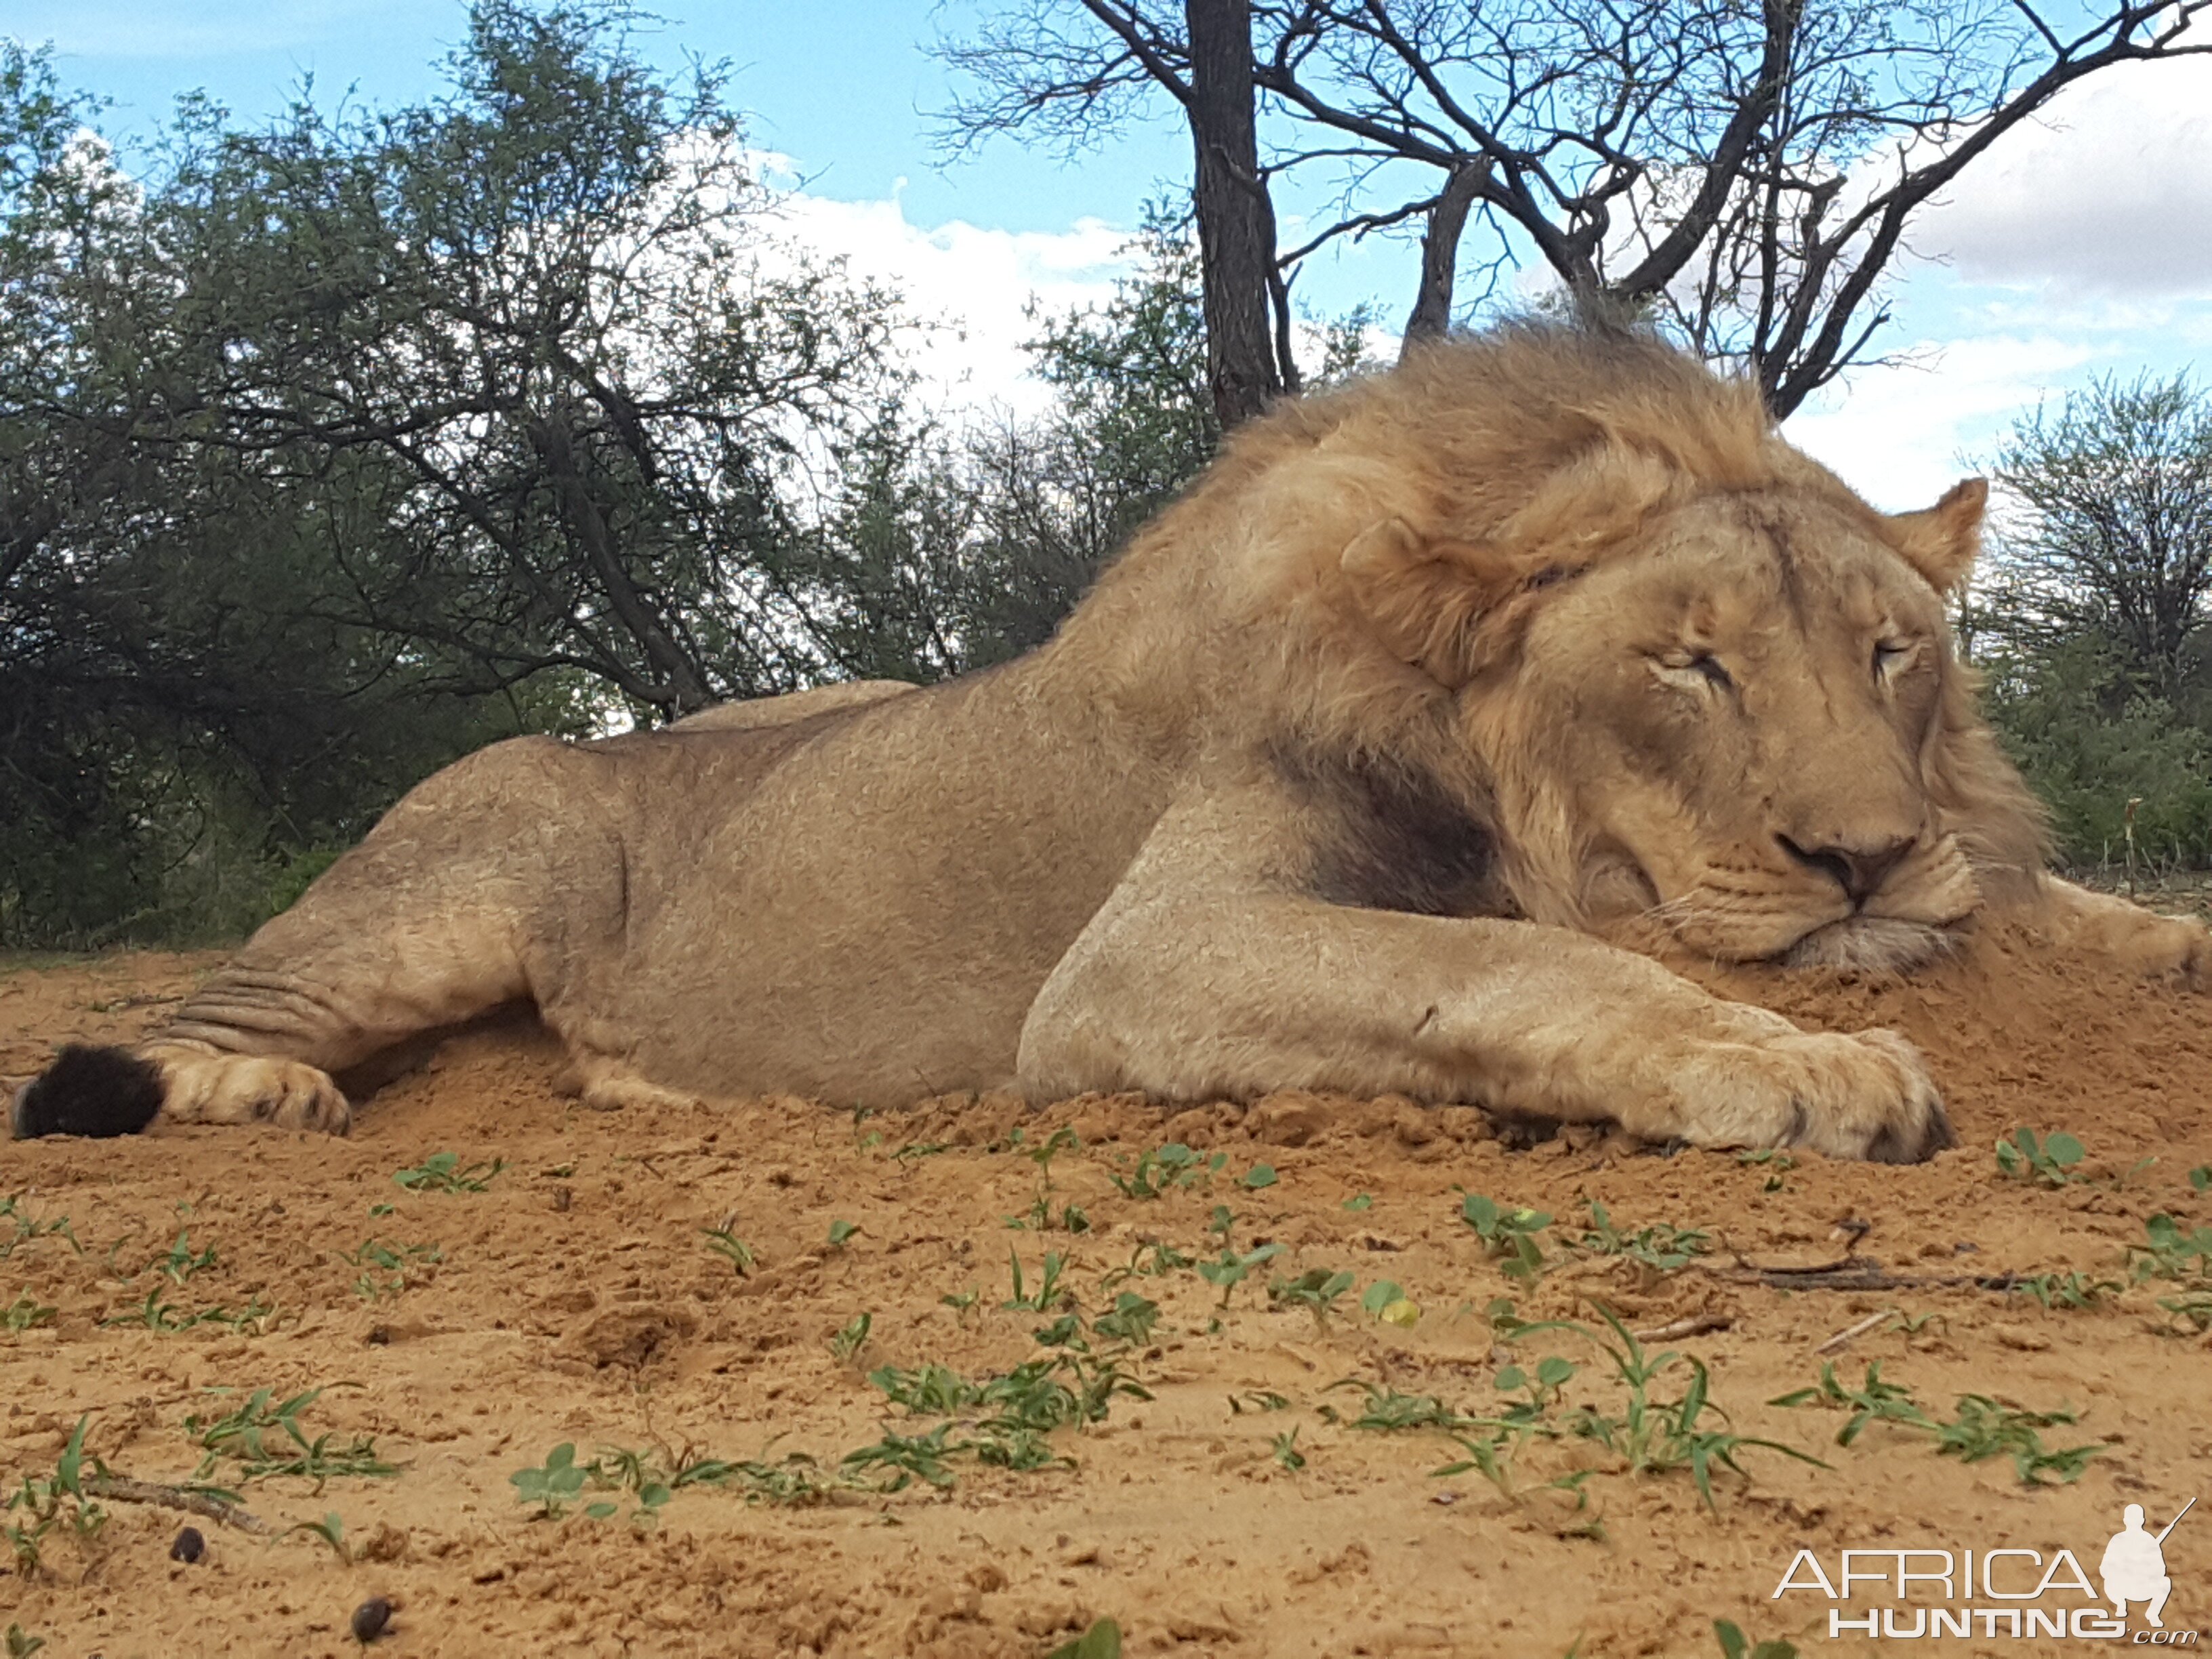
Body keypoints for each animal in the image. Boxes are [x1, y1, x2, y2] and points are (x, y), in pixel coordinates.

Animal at [17, 321, 2212, 1159]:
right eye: (1688, 667)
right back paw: (252, 1096)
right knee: (195, 1017)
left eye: (1890, 653)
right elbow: (1519, 958)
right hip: (456, 872)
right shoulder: (1143, 958)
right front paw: (1808, 1063)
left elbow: (2072, 908)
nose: (1862, 855)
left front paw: (2145, 941)